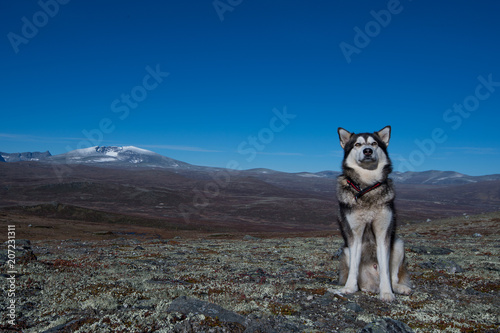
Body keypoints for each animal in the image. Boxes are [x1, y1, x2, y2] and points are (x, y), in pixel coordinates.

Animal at [336, 125, 410, 300]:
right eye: (357, 144)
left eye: (374, 143)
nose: (367, 151)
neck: (367, 186)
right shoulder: (354, 234)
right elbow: (354, 267)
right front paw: (349, 288)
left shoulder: (383, 233)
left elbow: (385, 270)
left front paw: (387, 293)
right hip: (346, 250)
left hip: (398, 244)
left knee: (393, 277)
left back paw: (399, 288)